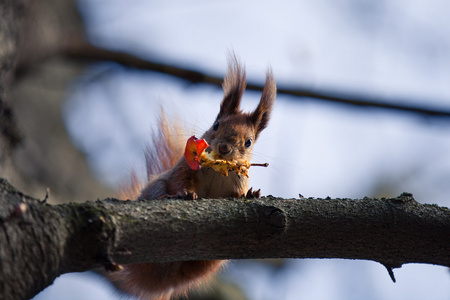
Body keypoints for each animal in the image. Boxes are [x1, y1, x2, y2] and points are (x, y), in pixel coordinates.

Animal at [110, 57, 276, 298]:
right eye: (216, 125)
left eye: (249, 142)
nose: (224, 148)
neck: (218, 170)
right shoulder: (184, 169)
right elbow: (179, 181)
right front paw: (185, 193)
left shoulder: (237, 183)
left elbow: (238, 194)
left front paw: (251, 194)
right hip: (156, 186)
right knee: (159, 191)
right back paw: (167, 198)